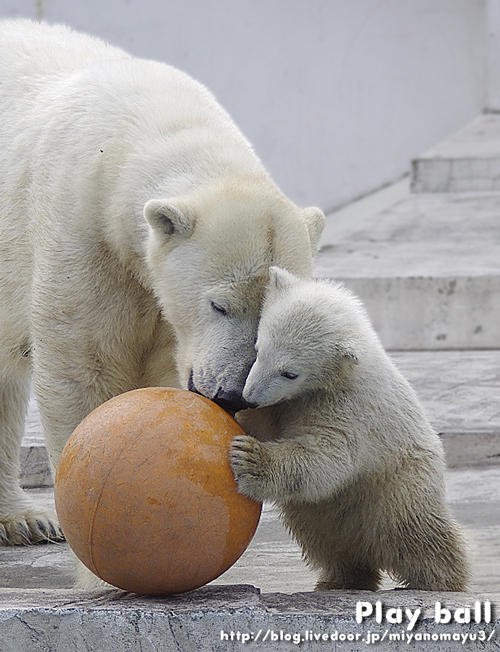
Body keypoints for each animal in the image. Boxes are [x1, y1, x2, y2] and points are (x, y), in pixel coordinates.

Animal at [0, 20, 324, 544]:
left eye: (272, 318)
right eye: (219, 305)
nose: (232, 394)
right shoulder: (81, 227)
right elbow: (86, 365)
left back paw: (23, 519)